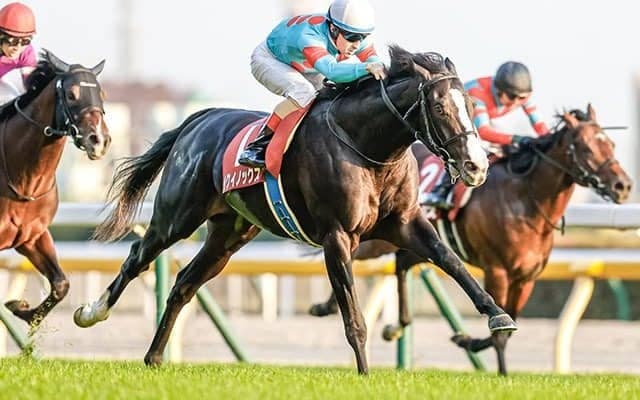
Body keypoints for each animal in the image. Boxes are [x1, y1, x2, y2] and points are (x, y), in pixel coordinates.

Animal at [0, 50, 110, 329]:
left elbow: (61, 284)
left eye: (102, 94)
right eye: (71, 94)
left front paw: (22, 309)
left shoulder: (33, 236)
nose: (100, 140)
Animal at [72, 45, 517, 374]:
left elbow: (451, 263)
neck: (369, 148)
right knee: (138, 256)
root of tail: (198, 120)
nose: (476, 166)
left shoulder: (406, 224)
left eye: (470, 107)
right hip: (178, 215)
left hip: (230, 232)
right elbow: (353, 316)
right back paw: (92, 313)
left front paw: (497, 315)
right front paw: (364, 374)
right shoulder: (337, 236)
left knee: (184, 283)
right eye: (440, 108)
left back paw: (154, 357)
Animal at [309, 105, 632, 374]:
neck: (525, 200)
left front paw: (467, 340)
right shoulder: (497, 271)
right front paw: (501, 372)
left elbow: (509, 322)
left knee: (400, 264)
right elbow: (501, 333)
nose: (623, 186)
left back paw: (396, 325)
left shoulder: (526, 277)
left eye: (611, 144)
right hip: (375, 239)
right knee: (355, 256)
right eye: (587, 148)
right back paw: (325, 306)